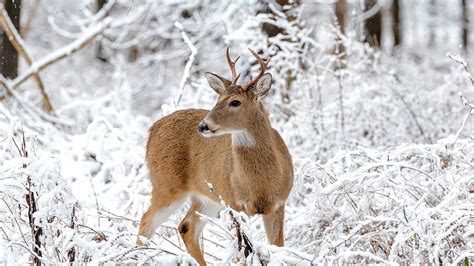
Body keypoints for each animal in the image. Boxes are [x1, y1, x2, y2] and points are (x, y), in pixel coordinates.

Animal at [135, 47, 294, 264]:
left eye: (235, 102)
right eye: (217, 100)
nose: (203, 126)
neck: (261, 184)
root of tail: (153, 129)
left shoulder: (279, 204)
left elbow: (278, 247)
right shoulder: (234, 204)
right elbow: (244, 250)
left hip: (206, 197)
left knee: (186, 226)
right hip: (166, 184)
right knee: (146, 222)